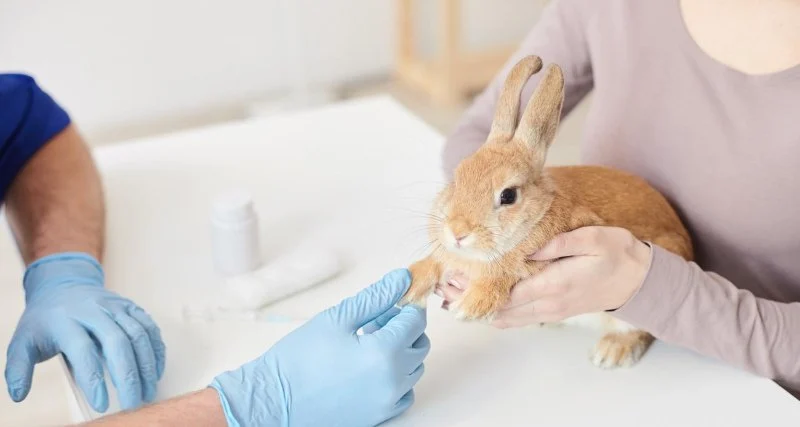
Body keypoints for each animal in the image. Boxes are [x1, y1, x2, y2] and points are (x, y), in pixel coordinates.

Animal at [400, 55, 693, 368]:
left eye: (508, 195)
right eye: (458, 177)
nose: (457, 232)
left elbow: (504, 275)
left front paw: (471, 305)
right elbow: (435, 263)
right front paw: (409, 286)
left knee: (642, 331)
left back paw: (611, 352)